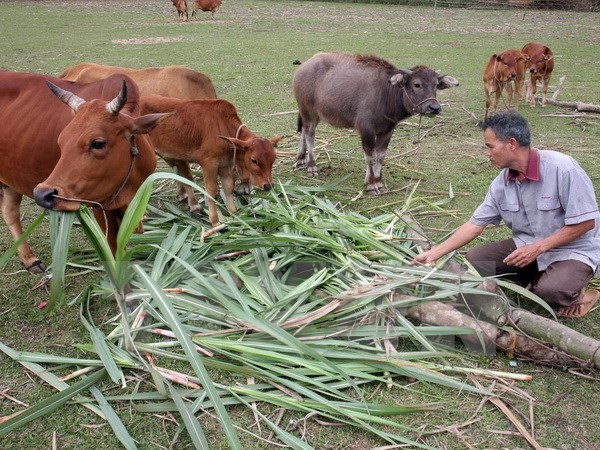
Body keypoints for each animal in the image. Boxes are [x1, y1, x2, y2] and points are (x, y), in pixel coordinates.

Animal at [0, 71, 166, 270]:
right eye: (61, 141)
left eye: (98, 143)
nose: (42, 194)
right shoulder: (100, 206)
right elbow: (113, 250)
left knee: (10, 212)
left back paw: (29, 259)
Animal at [140, 96, 282, 227]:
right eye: (254, 160)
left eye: (273, 159)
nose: (268, 185)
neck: (223, 127)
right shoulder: (208, 164)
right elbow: (212, 191)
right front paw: (215, 223)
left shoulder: (225, 165)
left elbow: (228, 187)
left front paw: (235, 217)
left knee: (183, 176)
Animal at [292, 52, 458, 193]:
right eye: (417, 84)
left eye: (436, 85)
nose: (434, 108)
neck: (386, 93)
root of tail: (304, 66)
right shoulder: (366, 129)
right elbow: (370, 156)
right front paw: (371, 184)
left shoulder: (388, 130)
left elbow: (380, 156)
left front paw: (379, 182)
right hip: (307, 110)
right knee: (310, 135)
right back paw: (311, 166)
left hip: (315, 115)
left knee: (303, 132)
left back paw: (300, 160)